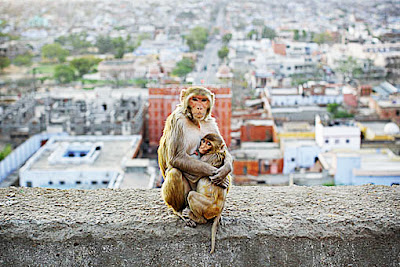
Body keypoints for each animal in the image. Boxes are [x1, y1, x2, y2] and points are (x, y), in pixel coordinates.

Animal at [159, 87, 233, 223]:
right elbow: (176, 157)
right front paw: (215, 174)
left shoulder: (210, 122)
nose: (199, 107)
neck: (196, 121)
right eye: (194, 99)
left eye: (203, 100)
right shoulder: (177, 120)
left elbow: (224, 150)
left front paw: (225, 169)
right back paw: (180, 212)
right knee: (174, 172)